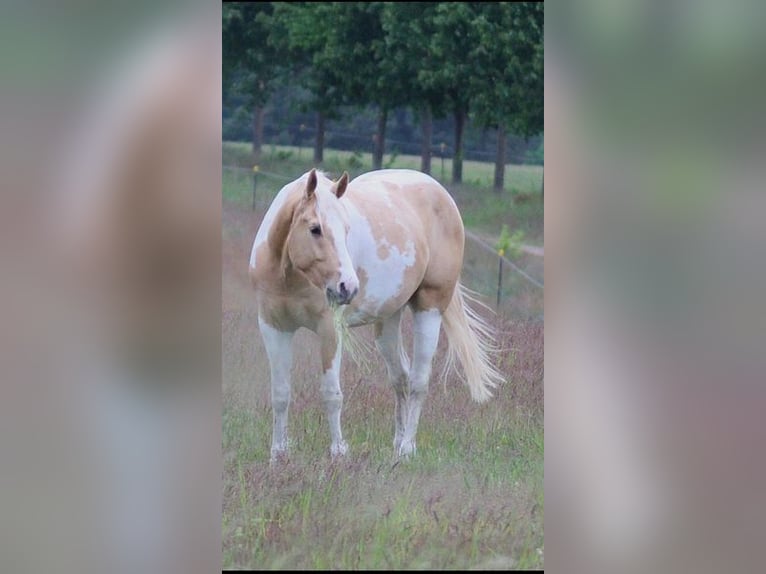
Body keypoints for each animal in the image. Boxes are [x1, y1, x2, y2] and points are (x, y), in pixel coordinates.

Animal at [249, 168, 503, 461]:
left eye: (347, 230)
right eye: (315, 229)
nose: (348, 287)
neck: (289, 274)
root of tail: (440, 193)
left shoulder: (330, 329)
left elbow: (331, 394)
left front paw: (338, 452)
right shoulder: (273, 327)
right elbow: (280, 394)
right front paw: (278, 456)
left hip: (430, 309)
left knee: (418, 381)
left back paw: (407, 449)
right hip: (388, 320)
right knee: (400, 379)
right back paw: (398, 442)